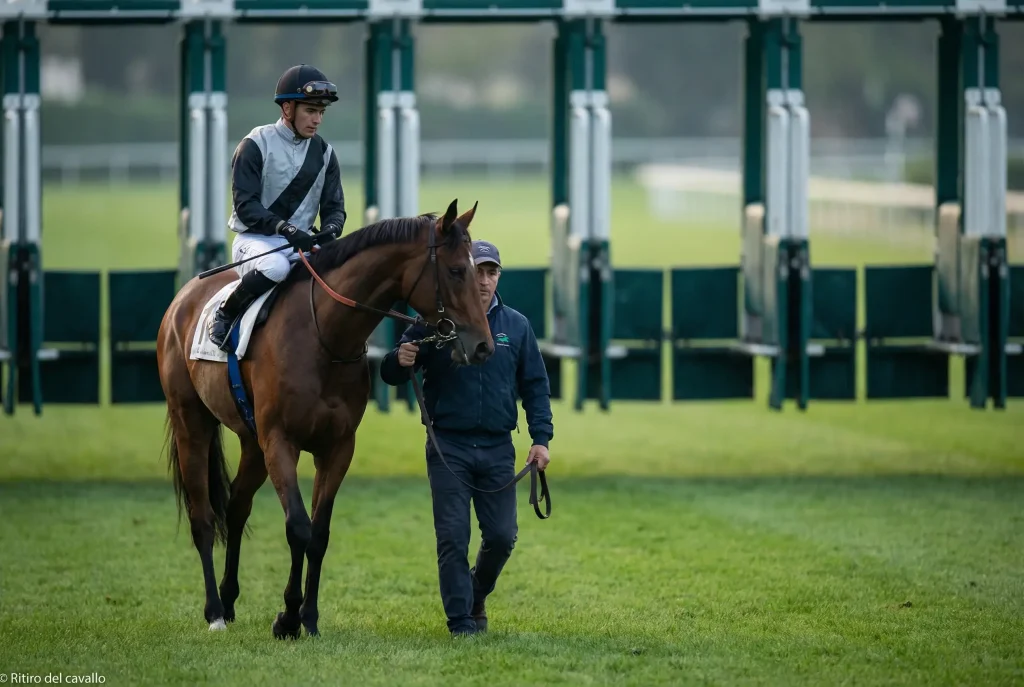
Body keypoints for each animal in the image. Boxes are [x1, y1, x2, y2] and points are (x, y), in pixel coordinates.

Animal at [156, 199, 493, 639]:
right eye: (455, 270)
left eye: (474, 269)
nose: (483, 345)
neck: (325, 337)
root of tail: (183, 299)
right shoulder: (281, 441)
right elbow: (297, 527)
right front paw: (287, 617)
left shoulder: (337, 447)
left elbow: (319, 533)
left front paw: (308, 618)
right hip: (191, 423)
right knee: (203, 518)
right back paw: (214, 611)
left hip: (251, 442)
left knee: (237, 506)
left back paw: (228, 602)